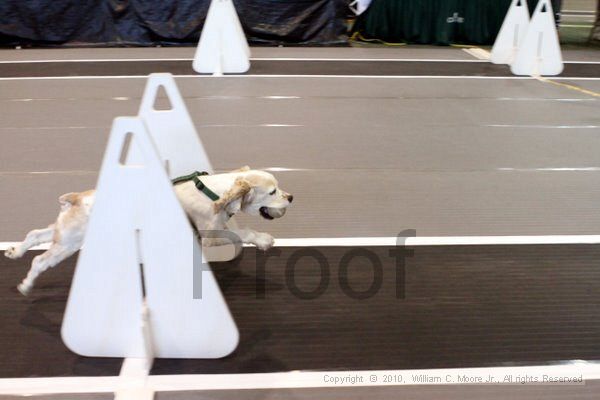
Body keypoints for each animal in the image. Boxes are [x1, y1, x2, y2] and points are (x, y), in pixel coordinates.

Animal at [2, 167, 292, 296]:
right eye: (272, 191)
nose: (291, 197)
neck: (215, 192)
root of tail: (76, 198)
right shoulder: (210, 234)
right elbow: (243, 234)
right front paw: (264, 240)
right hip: (68, 243)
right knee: (39, 261)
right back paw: (26, 284)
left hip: (63, 233)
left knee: (34, 234)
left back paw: (14, 251)